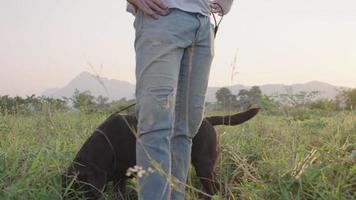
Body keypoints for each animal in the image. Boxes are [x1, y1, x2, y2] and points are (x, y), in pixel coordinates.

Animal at [62, 108, 258, 199]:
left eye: (80, 191)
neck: (107, 145)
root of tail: (207, 120)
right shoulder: (119, 178)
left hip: (204, 166)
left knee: (216, 189)